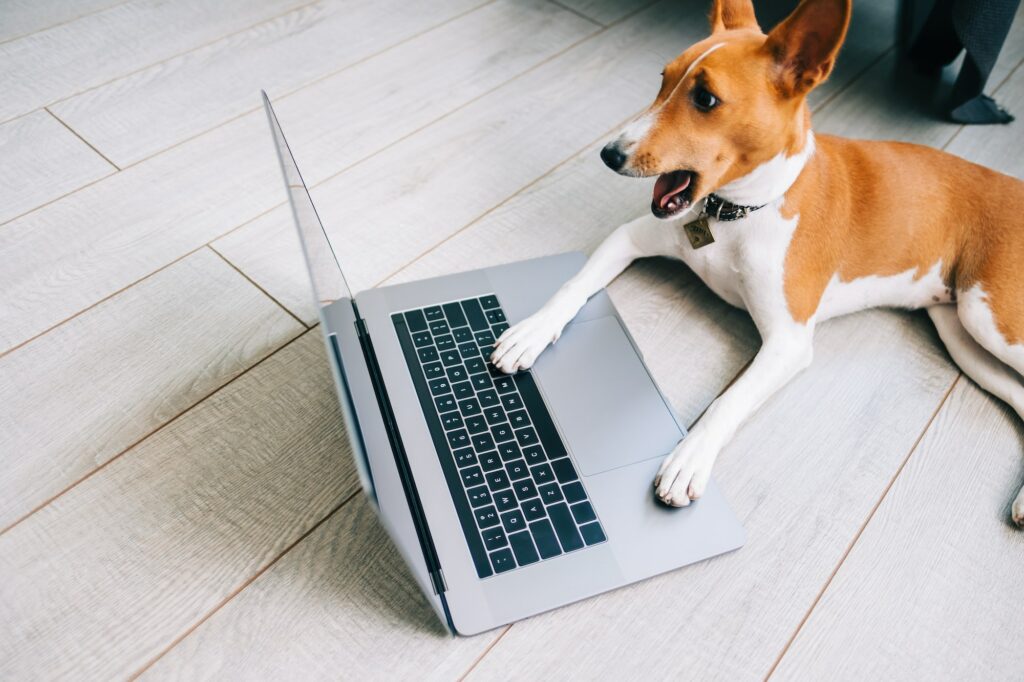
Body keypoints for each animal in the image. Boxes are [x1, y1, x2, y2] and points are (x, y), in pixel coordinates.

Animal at [487, 0, 1024, 522]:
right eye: (663, 78)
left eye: (705, 99)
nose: (609, 154)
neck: (735, 215)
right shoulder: (629, 238)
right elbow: (573, 285)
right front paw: (530, 332)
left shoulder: (788, 342)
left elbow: (729, 401)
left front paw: (689, 457)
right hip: (962, 334)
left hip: (989, 319)